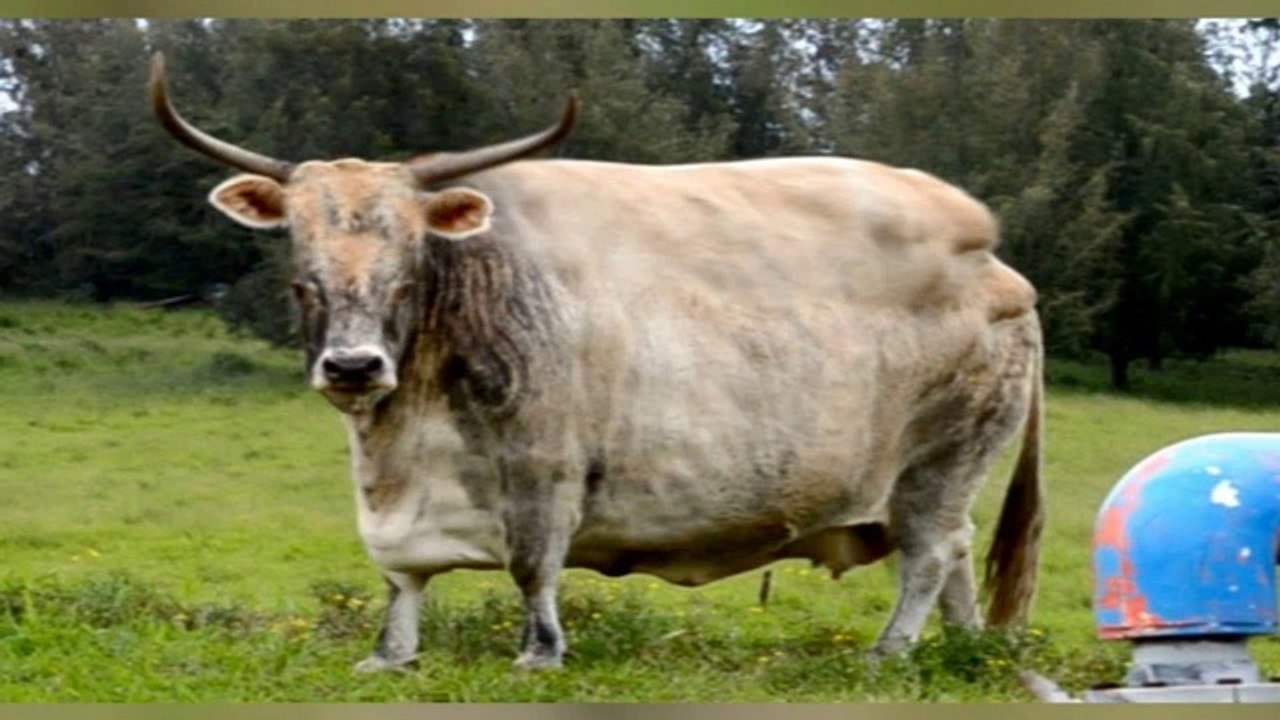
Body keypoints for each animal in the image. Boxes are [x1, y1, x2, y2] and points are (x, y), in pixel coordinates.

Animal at [148, 51, 1046, 673]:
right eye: (304, 273)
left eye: (408, 267)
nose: (354, 368)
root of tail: (996, 266)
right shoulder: (392, 489)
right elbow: (401, 575)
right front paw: (390, 652)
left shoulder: (546, 464)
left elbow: (532, 563)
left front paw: (539, 651)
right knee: (957, 560)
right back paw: (966, 649)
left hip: (942, 462)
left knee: (930, 554)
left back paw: (890, 652)